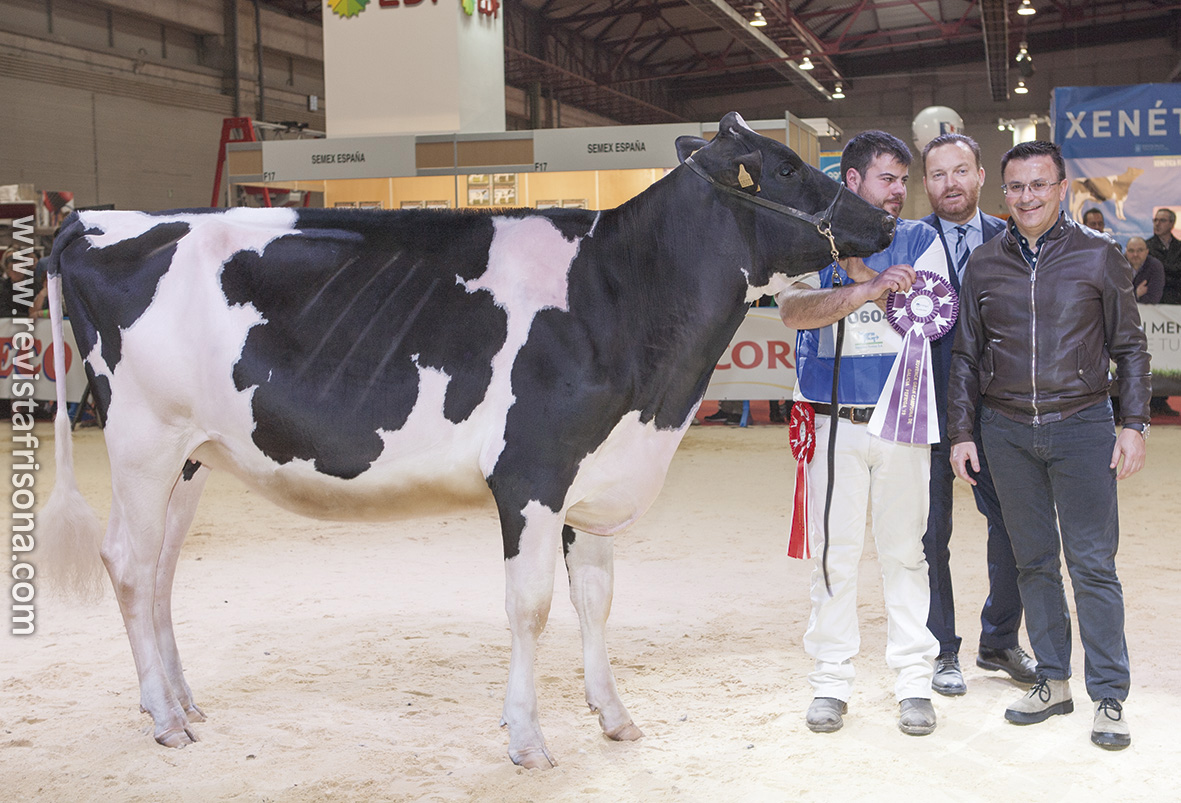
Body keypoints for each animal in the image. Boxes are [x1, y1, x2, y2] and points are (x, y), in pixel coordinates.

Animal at [41, 111, 892, 765]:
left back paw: (183, 700)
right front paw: (527, 738)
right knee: (126, 562)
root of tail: (98, 220)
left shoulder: (595, 478)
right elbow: (531, 606)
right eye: (783, 167)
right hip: (142, 441)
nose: (883, 219)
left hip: (191, 457)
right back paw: (163, 717)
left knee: (158, 570)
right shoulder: (532, 474)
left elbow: (596, 599)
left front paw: (614, 715)